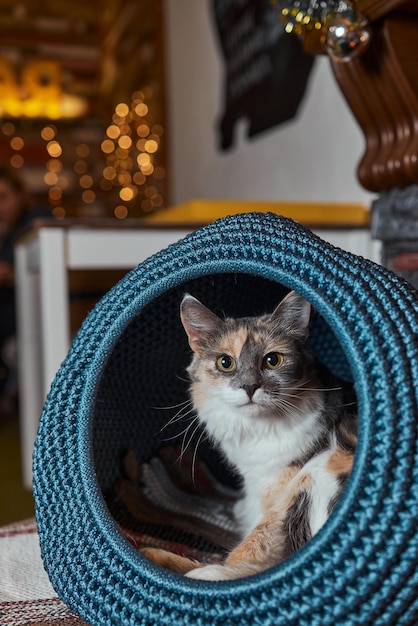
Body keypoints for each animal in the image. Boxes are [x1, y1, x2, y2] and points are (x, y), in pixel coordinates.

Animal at [142, 290, 358, 576]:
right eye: (225, 363)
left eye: (273, 360)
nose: (249, 387)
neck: (259, 430)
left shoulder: (282, 491)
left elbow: (248, 551)